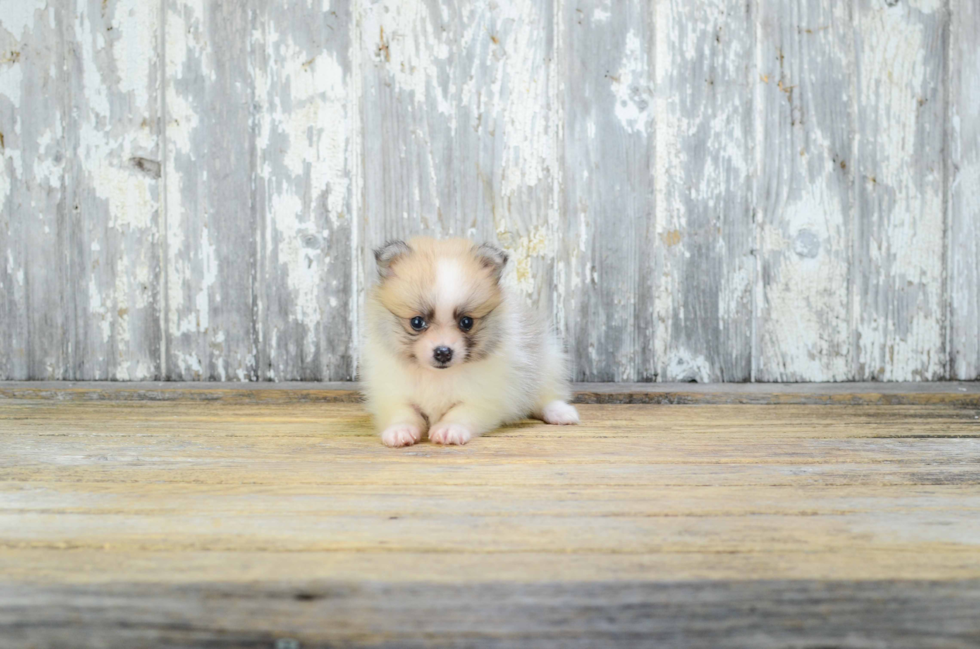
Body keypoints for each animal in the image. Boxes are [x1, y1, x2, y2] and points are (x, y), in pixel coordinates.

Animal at [362, 237, 580, 446]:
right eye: (417, 322)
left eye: (466, 322)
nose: (443, 352)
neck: (437, 376)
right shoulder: (393, 393)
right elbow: (403, 412)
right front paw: (400, 431)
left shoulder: (484, 398)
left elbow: (461, 412)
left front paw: (449, 429)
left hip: (547, 363)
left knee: (544, 396)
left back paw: (561, 412)